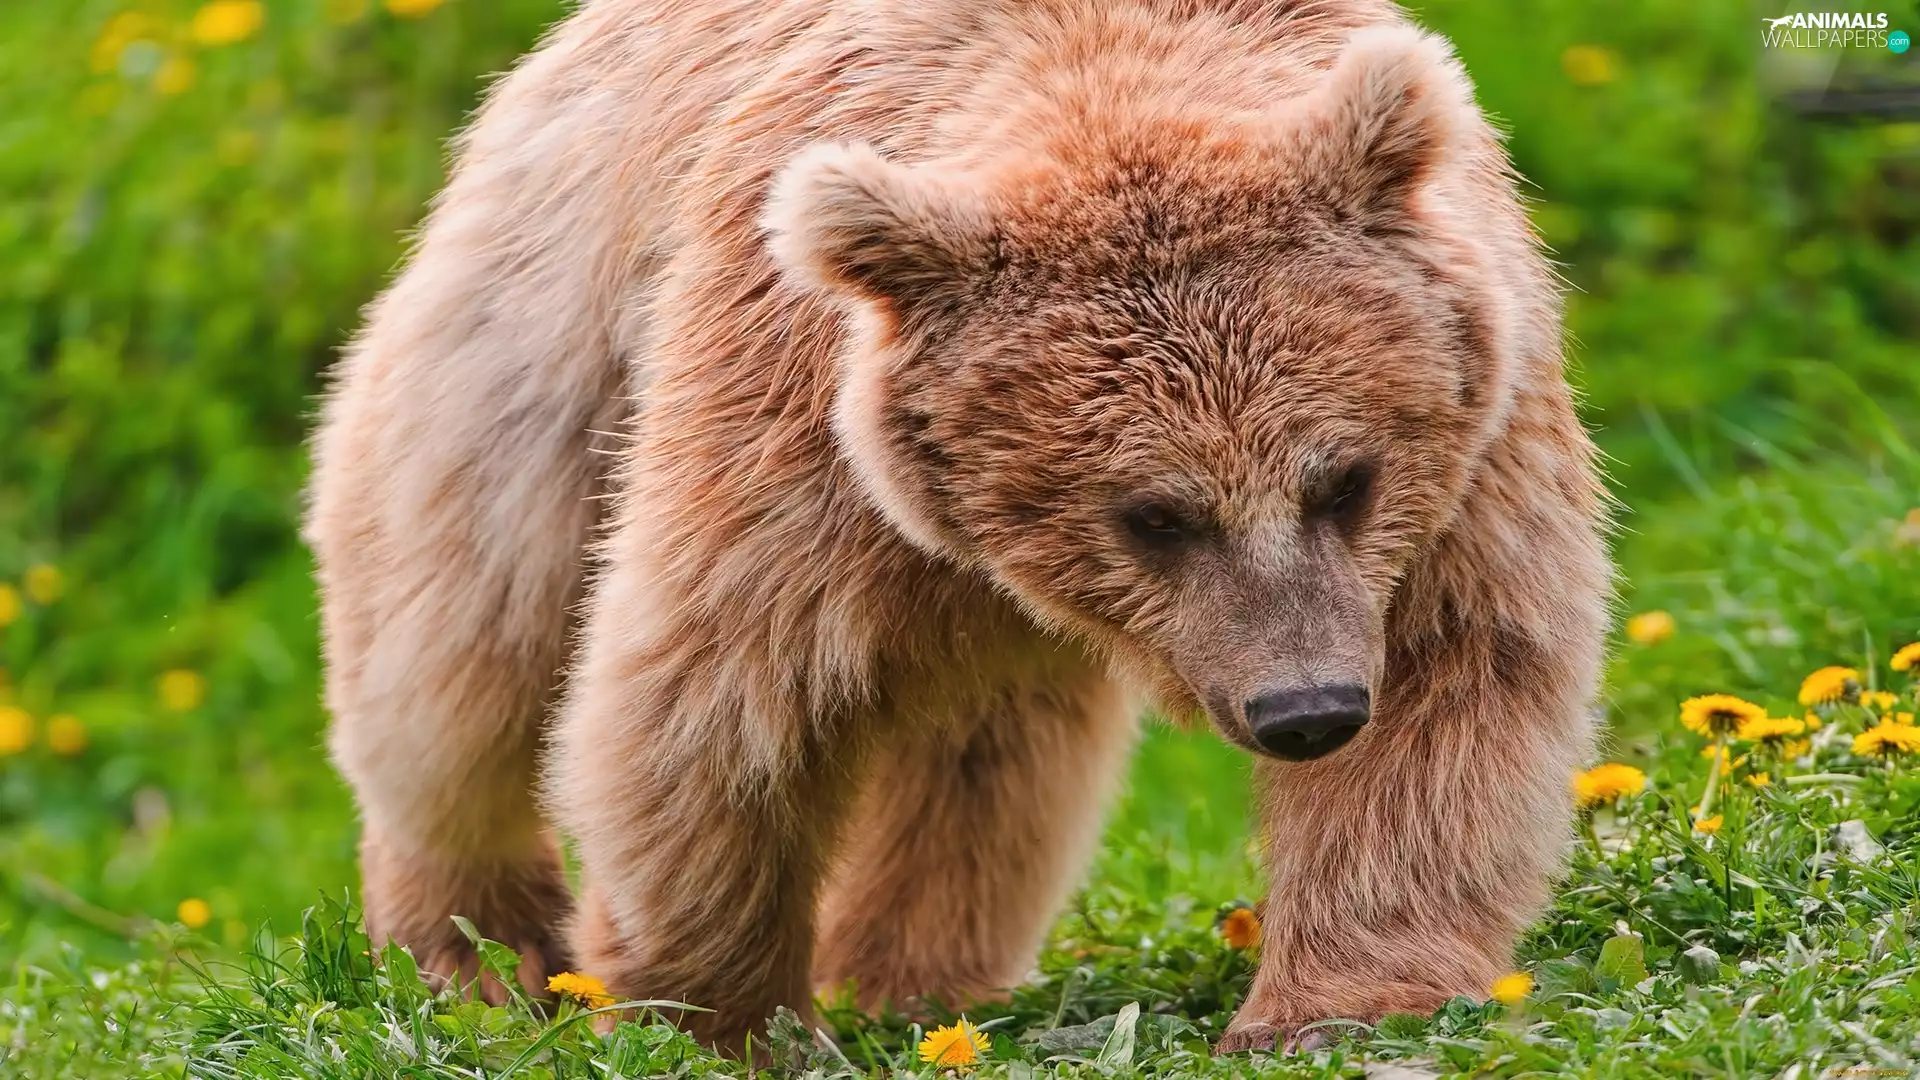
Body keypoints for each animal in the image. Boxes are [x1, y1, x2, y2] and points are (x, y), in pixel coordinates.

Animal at [305, 0, 1609, 1055]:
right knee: (461, 648)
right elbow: (715, 702)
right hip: (539, 339)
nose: (1306, 711)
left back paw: (913, 975)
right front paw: (716, 1018)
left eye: (1344, 481)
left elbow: (1457, 680)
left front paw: (1333, 1003)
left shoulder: (1472, 436)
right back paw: (473, 950)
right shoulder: (795, 432)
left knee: (986, 755)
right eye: (1155, 515)